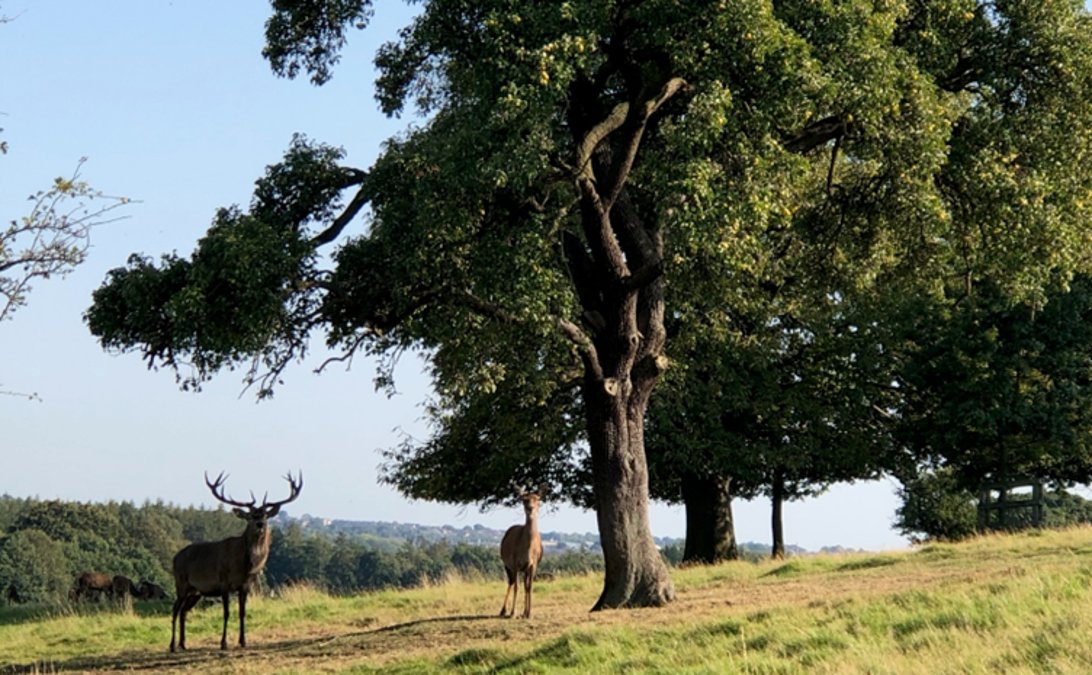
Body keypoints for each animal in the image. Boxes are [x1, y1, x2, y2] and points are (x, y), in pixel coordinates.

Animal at [169, 470, 302, 653]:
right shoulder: (224, 582)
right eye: (250, 516)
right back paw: (172, 646)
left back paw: (183, 644)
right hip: (181, 582)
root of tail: (175, 558)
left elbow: (242, 612)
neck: (244, 566)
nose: (260, 524)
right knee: (175, 609)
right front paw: (224, 643)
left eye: (265, 515)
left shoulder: (246, 585)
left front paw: (243, 641)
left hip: (195, 591)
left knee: (183, 611)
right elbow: (226, 613)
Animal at [499, 490, 544, 619]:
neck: (527, 550)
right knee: (511, 582)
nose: (530, 508)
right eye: (524, 500)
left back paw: (524, 612)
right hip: (506, 564)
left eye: (537, 499)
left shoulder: (533, 564)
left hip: (524, 569)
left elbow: (530, 586)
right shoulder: (515, 563)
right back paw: (503, 610)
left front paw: (529, 613)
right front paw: (513, 612)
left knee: (524, 584)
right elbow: (517, 586)